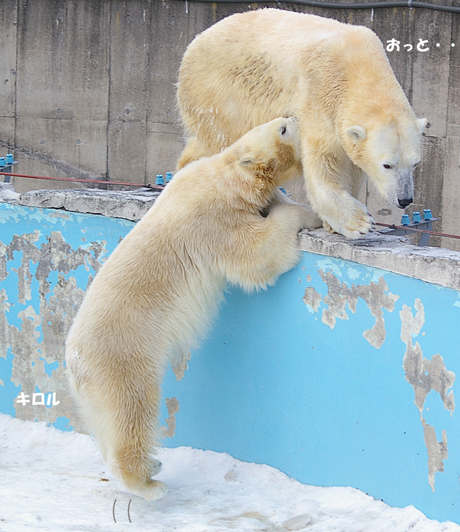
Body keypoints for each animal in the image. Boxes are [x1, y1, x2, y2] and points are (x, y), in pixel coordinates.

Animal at [66, 116, 322, 498]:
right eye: (282, 129)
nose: (294, 117)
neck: (228, 175)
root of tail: (74, 361)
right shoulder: (216, 221)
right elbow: (256, 256)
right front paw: (306, 216)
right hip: (122, 359)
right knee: (131, 412)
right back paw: (147, 481)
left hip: (93, 389)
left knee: (103, 424)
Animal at [177, 8, 428, 239]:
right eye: (387, 165)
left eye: (415, 164)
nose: (405, 198)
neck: (361, 66)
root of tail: (194, 42)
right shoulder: (320, 90)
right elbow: (323, 158)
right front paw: (358, 221)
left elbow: (351, 164)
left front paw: (333, 223)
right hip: (221, 93)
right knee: (228, 141)